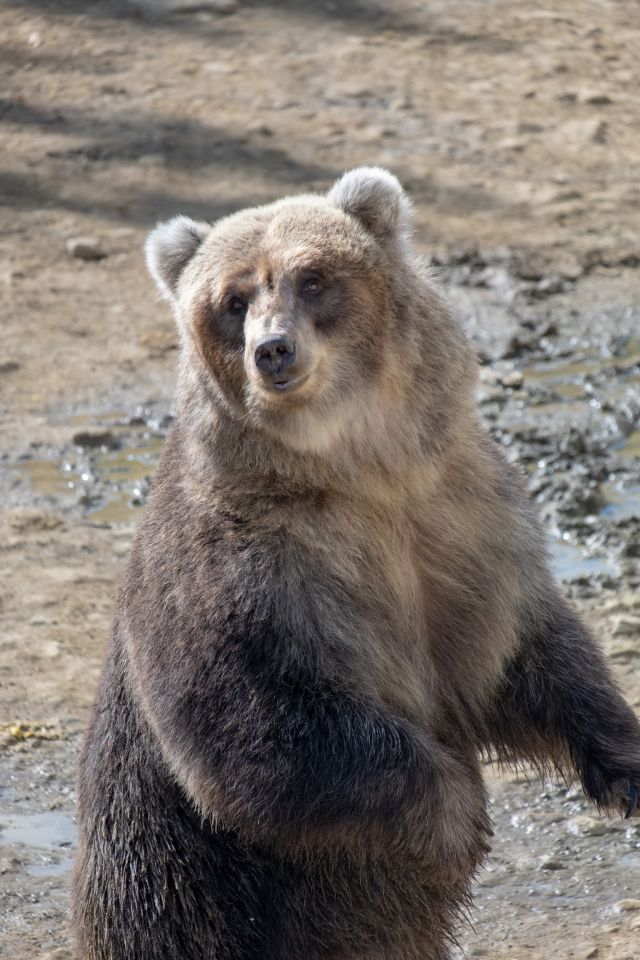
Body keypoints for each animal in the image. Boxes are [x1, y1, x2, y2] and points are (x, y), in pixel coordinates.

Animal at [72, 169, 640, 960]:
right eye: (233, 299)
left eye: (312, 278)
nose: (273, 350)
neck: (358, 471)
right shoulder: (240, 570)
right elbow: (248, 726)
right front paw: (456, 817)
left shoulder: (462, 520)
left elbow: (526, 652)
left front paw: (623, 762)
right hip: (172, 885)